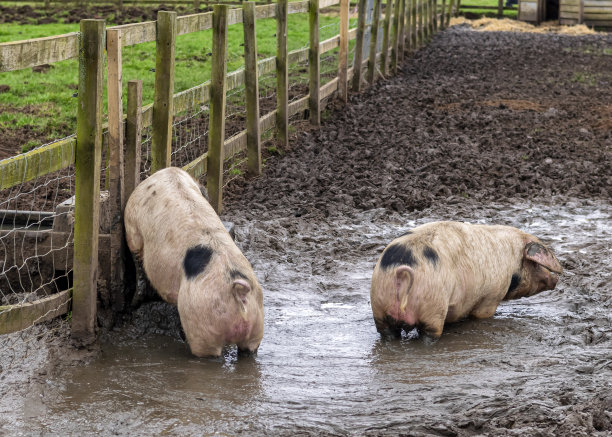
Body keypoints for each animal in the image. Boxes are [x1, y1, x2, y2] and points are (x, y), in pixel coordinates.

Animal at [125, 165, 264, 356]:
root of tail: (238, 291)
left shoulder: (133, 229)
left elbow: (138, 264)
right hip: (256, 325)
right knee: (249, 350)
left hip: (202, 325)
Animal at [370, 221, 560, 340]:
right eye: (535, 264)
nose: (556, 278)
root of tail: (400, 273)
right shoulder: (491, 297)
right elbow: (482, 314)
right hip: (433, 307)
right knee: (430, 334)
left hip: (379, 307)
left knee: (387, 332)